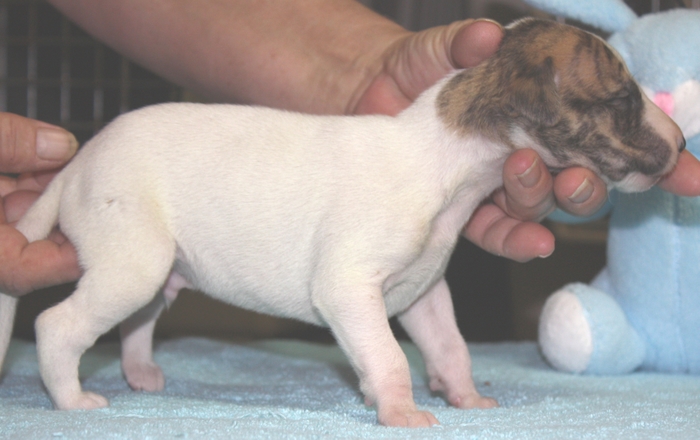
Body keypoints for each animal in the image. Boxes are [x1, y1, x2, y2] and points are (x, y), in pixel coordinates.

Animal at [0, 18, 684, 427]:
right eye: (623, 99)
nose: (681, 144)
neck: (447, 158)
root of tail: (78, 161)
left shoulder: (424, 292)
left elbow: (450, 346)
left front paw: (464, 396)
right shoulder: (348, 288)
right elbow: (386, 354)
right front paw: (402, 411)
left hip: (162, 268)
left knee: (137, 325)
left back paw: (142, 376)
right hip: (132, 264)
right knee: (58, 325)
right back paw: (72, 400)